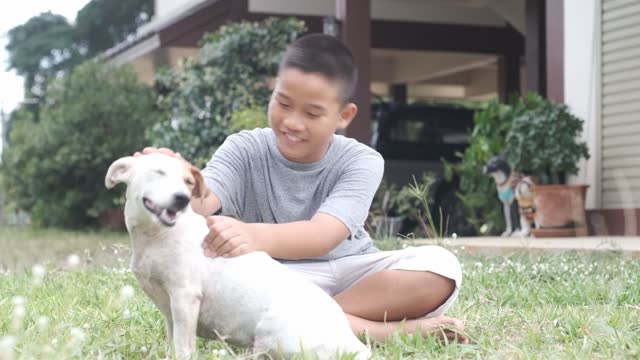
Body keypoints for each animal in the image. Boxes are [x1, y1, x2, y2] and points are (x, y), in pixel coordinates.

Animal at [104, 153, 370, 360]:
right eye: (158, 172)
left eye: (188, 182)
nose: (183, 199)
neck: (156, 237)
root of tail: (349, 342)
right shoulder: (170, 310)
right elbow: (173, 343)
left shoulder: (185, 298)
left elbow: (184, 347)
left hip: (270, 332)